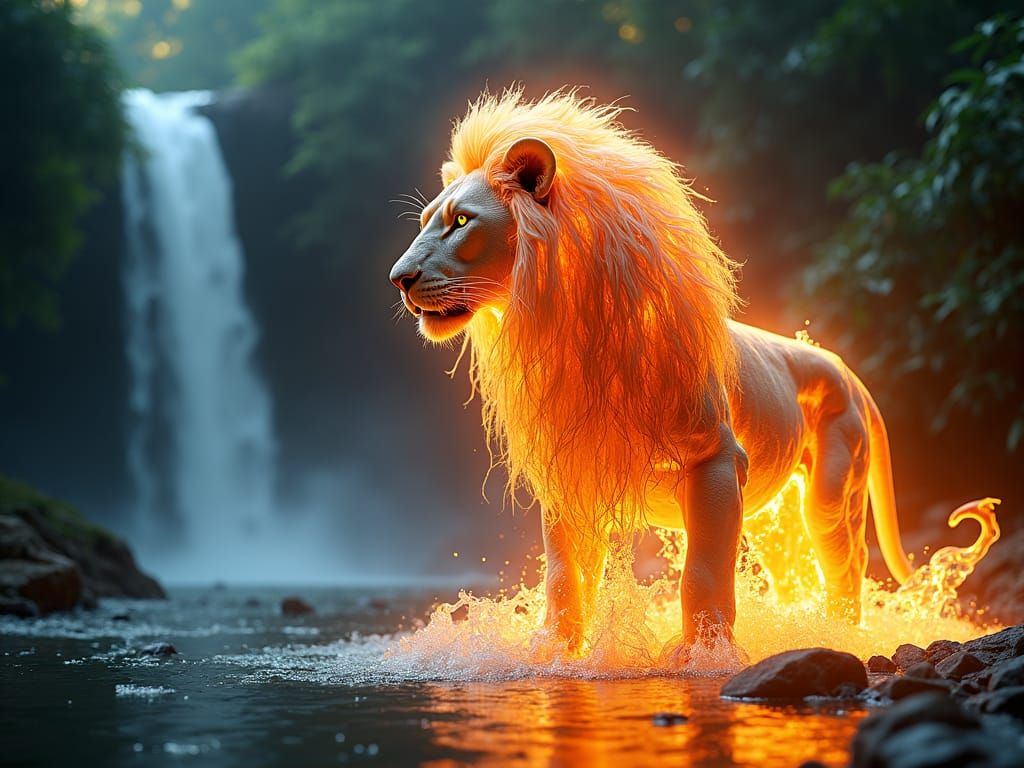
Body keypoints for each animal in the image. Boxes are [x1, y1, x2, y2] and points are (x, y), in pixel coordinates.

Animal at [388, 88, 998, 656]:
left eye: (461, 221)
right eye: (425, 223)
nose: (399, 277)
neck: (571, 328)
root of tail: (847, 369)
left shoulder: (715, 460)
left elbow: (702, 570)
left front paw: (702, 654)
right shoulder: (571, 471)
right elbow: (564, 575)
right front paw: (554, 650)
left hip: (831, 496)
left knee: (845, 570)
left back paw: (835, 636)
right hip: (774, 519)